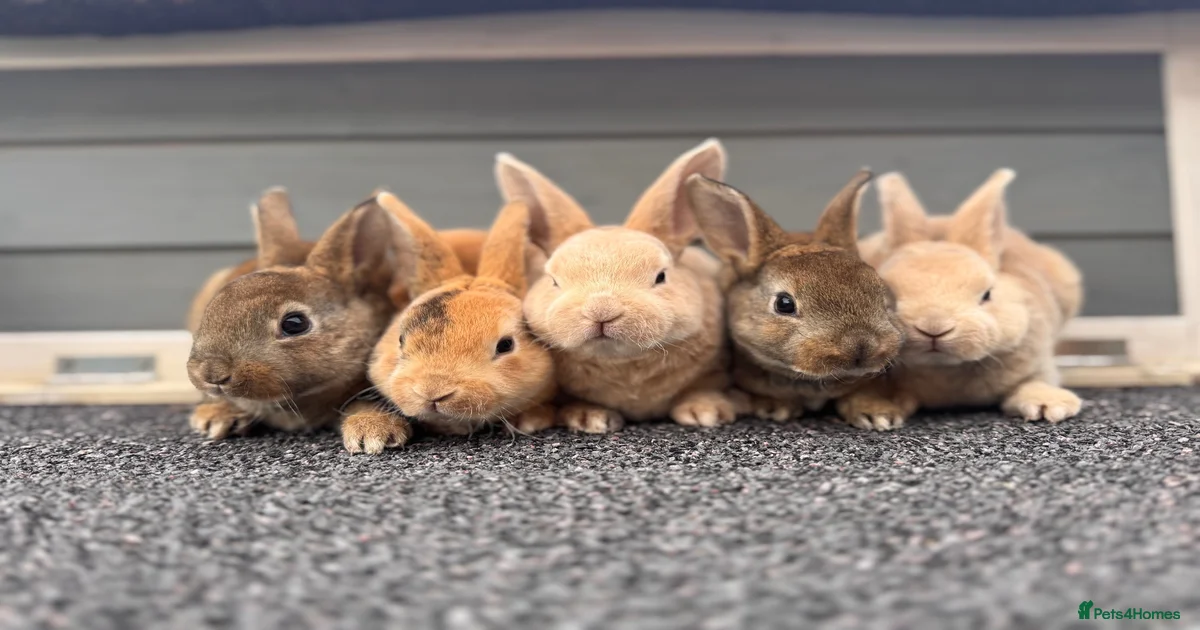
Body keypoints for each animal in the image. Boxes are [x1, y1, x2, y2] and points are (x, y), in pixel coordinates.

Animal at [495, 139, 736, 434]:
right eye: (554, 281)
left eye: (661, 276)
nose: (601, 311)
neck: (623, 364)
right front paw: (588, 417)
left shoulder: (715, 370)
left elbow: (704, 387)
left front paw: (705, 411)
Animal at [837, 168, 1085, 431]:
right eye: (888, 295)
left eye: (987, 295)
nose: (934, 328)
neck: (944, 368)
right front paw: (876, 414)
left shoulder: (1036, 364)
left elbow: (1033, 383)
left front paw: (1049, 406)